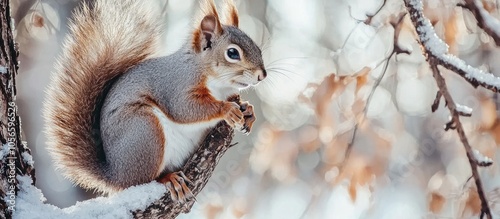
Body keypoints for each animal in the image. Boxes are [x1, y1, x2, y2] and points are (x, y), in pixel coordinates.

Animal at [43, 0, 266, 202]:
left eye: (257, 47)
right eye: (232, 53)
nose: (262, 75)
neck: (217, 83)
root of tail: (115, 174)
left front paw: (249, 111)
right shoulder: (175, 86)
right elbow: (185, 109)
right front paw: (227, 109)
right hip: (145, 131)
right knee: (143, 180)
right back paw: (168, 180)